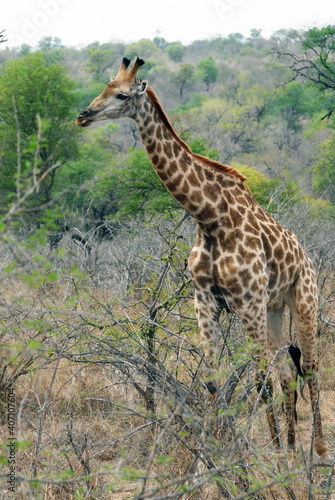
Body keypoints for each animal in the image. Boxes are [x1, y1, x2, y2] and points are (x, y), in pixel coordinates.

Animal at [76, 56, 328, 456]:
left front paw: (269, 460)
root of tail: (306, 255)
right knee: (289, 372)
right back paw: (290, 448)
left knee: (310, 367)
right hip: (274, 308)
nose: (83, 115)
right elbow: (213, 381)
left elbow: (259, 380)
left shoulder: (247, 301)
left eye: (121, 94)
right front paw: (216, 455)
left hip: (303, 299)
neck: (209, 217)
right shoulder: (205, 300)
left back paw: (315, 452)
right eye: (105, 86)